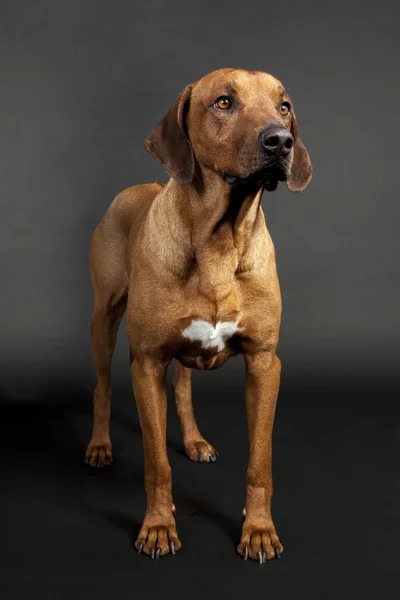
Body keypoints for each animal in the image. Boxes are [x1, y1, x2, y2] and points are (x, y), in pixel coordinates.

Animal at [84, 69, 312, 564]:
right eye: (224, 102)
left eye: (284, 106)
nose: (281, 141)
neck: (220, 241)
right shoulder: (147, 362)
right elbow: (156, 463)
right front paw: (157, 526)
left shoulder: (264, 363)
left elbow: (259, 462)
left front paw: (259, 530)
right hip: (103, 318)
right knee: (102, 387)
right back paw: (99, 445)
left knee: (183, 389)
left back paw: (193, 440)